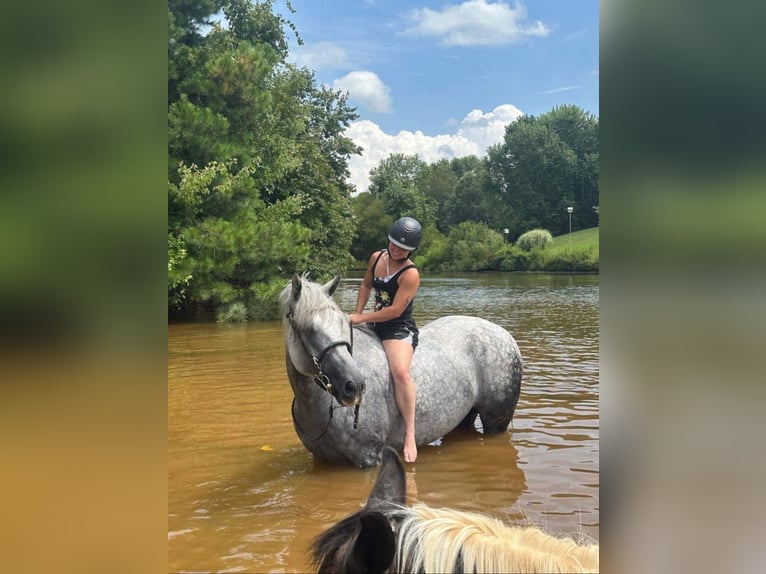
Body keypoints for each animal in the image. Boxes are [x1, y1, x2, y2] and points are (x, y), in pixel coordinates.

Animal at [279, 273, 523, 468]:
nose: (354, 387)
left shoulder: (368, 458)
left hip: (496, 422)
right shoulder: (320, 459)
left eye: (343, 323)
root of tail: (505, 335)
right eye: (309, 329)